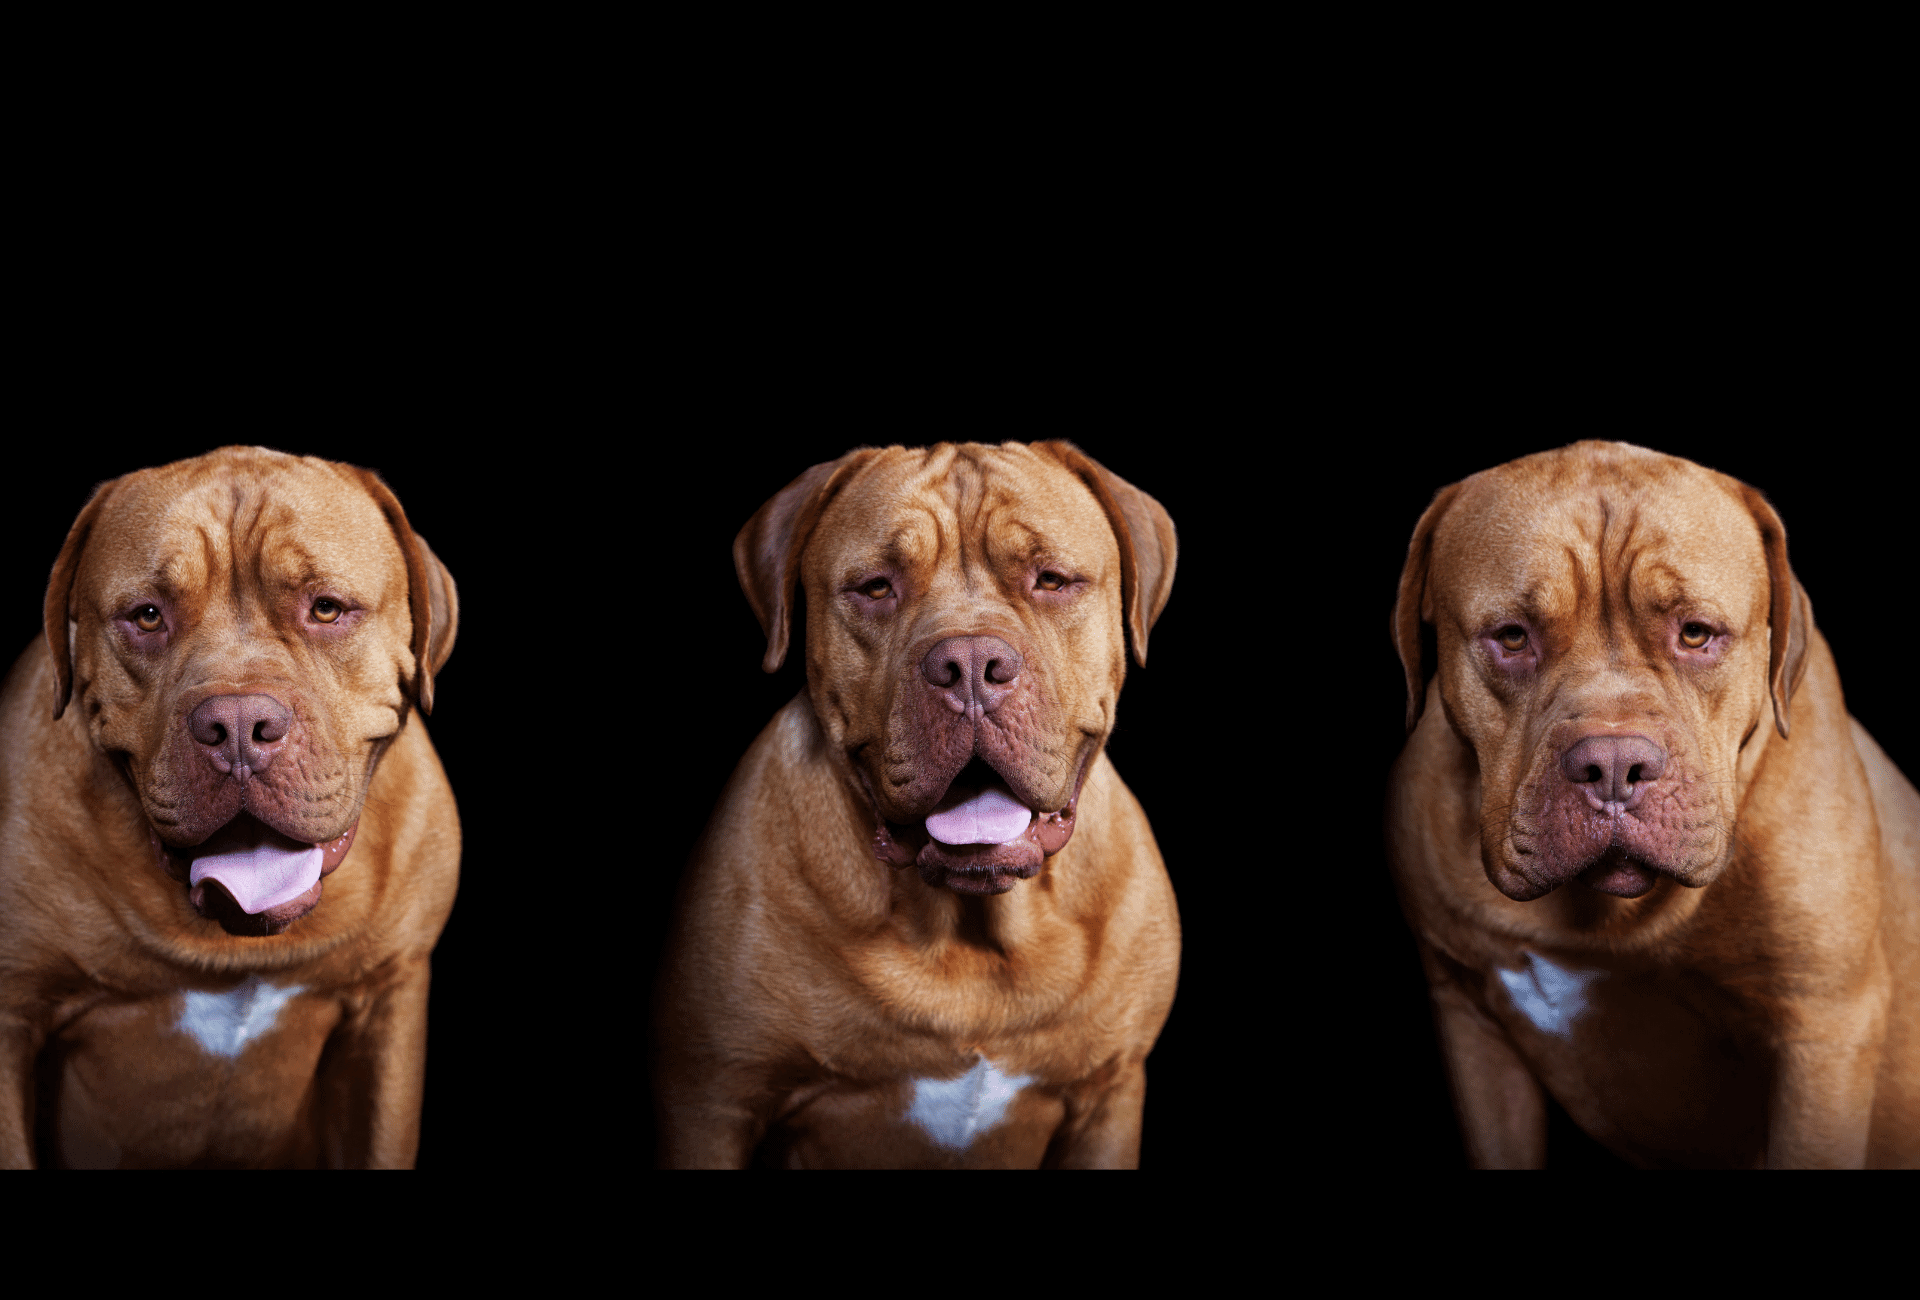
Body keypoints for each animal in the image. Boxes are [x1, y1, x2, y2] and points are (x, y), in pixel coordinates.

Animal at [652, 437, 1175, 1167]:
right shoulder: (710, 1102)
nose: (971, 666)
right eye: (876, 587)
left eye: (1051, 579)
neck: (966, 931)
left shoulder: (1108, 1098)